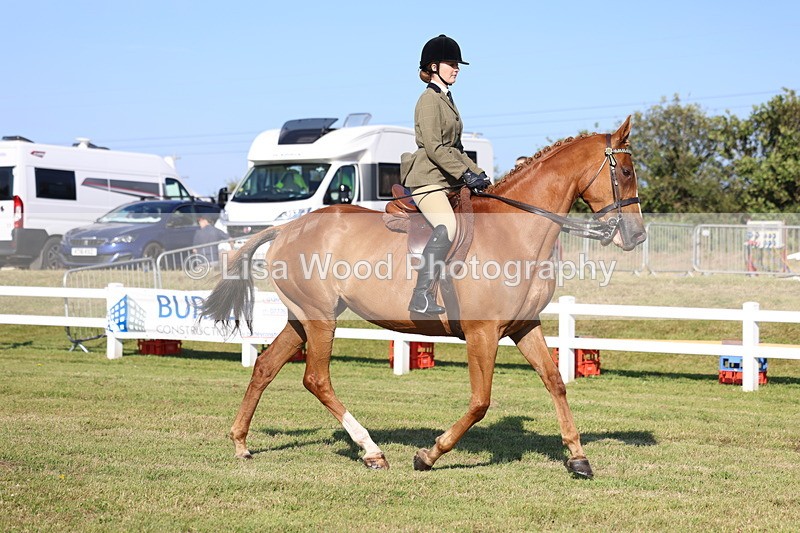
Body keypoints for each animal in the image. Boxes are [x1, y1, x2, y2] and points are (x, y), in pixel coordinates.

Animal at [201, 116, 646, 478]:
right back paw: (372, 451)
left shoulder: (523, 326)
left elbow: (555, 382)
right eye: (625, 171)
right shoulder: (482, 333)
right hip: (320, 318)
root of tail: (287, 228)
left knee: (265, 367)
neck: (515, 231)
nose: (637, 236)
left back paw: (241, 443)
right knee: (316, 379)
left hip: (303, 318)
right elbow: (480, 401)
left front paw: (578, 457)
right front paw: (429, 455)